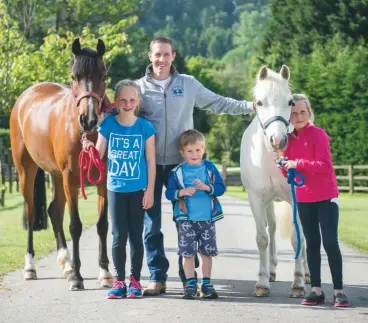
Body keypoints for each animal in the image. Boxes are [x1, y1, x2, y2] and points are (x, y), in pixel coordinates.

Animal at [10, 38, 113, 292]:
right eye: (74, 76)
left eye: (103, 74)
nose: (89, 120)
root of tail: (25, 96)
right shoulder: (71, 178)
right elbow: (75, 225)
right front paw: (77, 277)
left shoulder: (103, 179)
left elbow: (102, 224)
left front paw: (105, 273)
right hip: (26, 170)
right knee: (31, 212)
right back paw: (31, 268)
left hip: (56, 176)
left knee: (54, 211)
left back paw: (66, 264)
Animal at [240, 65, 310, 298]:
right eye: (260, 102)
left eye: (290, 102)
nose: (278, 140)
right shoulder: (256, 198)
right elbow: (262, 238)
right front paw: (262, 283)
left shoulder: (296, 199)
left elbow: (298, 239)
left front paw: (298, 283)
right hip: (269, 202)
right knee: (271, 228)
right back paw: (271, 271)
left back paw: (307, 274)